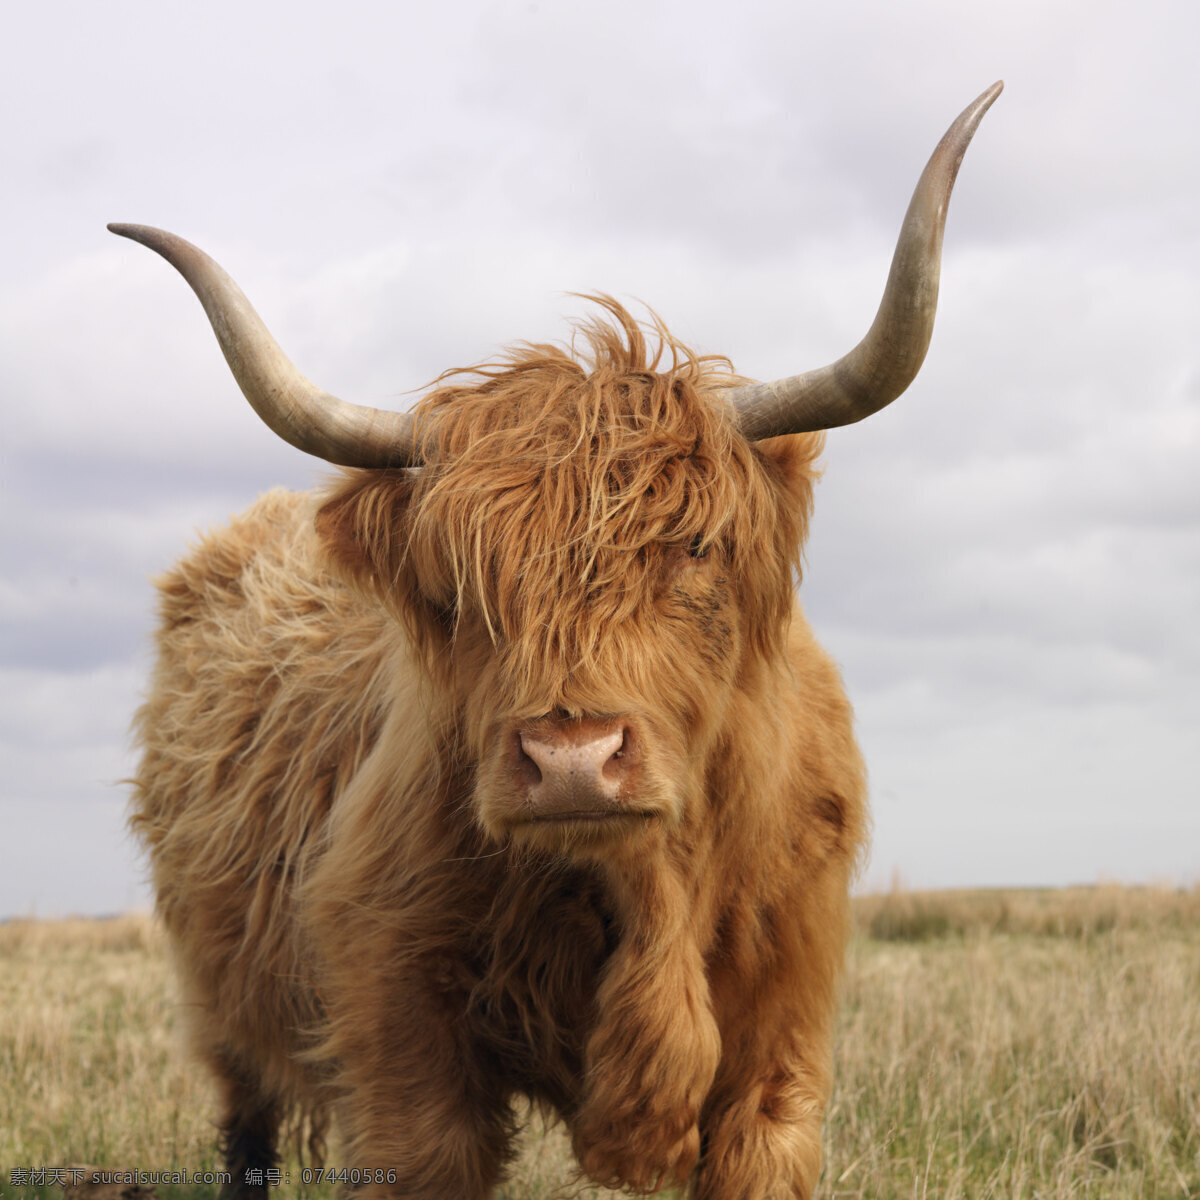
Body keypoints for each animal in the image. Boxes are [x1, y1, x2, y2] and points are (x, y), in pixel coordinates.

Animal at [117, 84, 998, 1200]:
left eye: (696, 546)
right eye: (456, 583)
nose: (571, 759)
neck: (643, 891)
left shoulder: (780, 1050)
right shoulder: (401, 1042)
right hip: (220, 989)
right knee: (247, 1119)